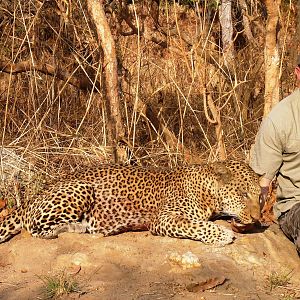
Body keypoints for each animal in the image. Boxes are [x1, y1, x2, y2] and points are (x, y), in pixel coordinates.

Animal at [0, 161, 262, 245]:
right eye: (243, 194)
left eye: (259, 196)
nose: (258, 218)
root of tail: (31, 197)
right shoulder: (164, 218)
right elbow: (196, 225)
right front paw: (222, 234)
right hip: (80, 188)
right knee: (33, 228)